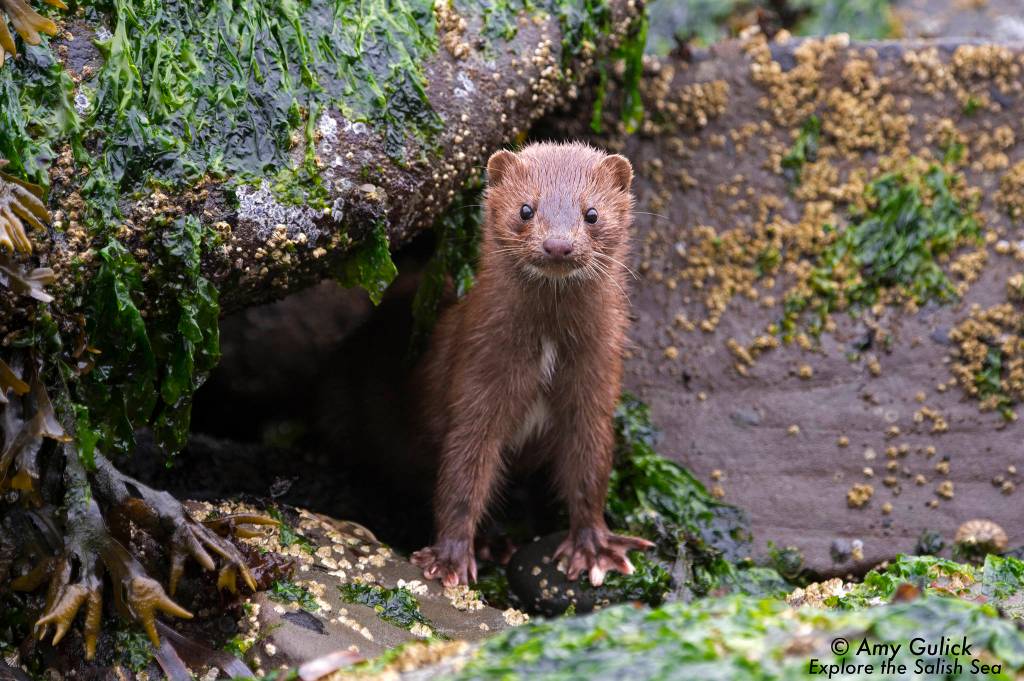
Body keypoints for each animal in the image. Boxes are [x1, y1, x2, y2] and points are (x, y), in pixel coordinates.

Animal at [411, 142, 653, 588]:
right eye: (526, 208)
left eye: (591, 213)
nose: (558, 245)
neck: (548, 351)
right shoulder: (478, 371)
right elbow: (462, 473)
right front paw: (449, 558)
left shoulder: (595, 380)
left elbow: (590, 468)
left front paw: (594, 547)